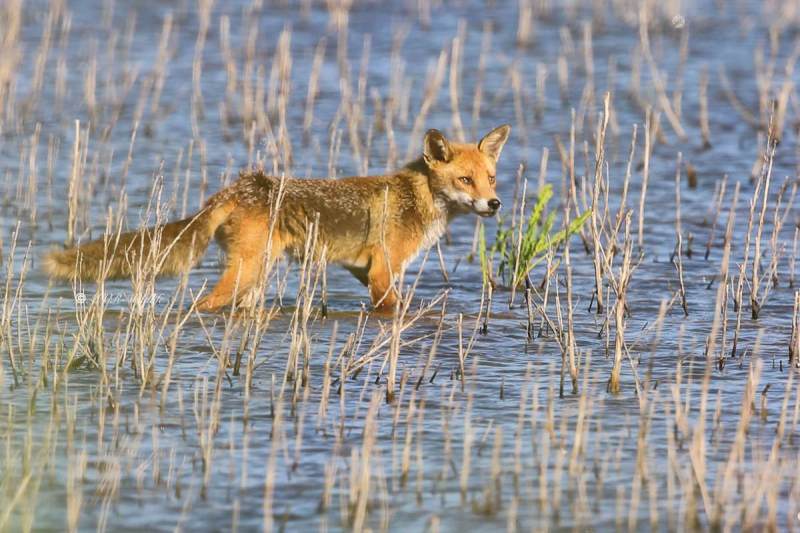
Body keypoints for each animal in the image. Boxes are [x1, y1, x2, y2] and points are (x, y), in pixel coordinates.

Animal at [43, 125, 511, 312]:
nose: (494, 204)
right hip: (245, 273)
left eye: (490, 178)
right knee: (202, 304)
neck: (419, 198)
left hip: (255, 278)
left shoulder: (365, 271)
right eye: (465, 180)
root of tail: (239, 186)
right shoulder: (382, 271)